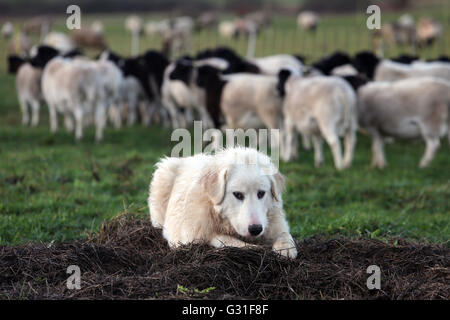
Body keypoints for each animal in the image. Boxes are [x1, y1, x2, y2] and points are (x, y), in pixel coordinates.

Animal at [148, 147, 298, 258]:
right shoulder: (191, 236)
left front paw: (285, 248)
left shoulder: (275, 223)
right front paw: (254, 248)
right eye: (238, 195)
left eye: (261, 193)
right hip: (165, 172)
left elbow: (285, 234)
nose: (255, 229)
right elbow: (224, 239)